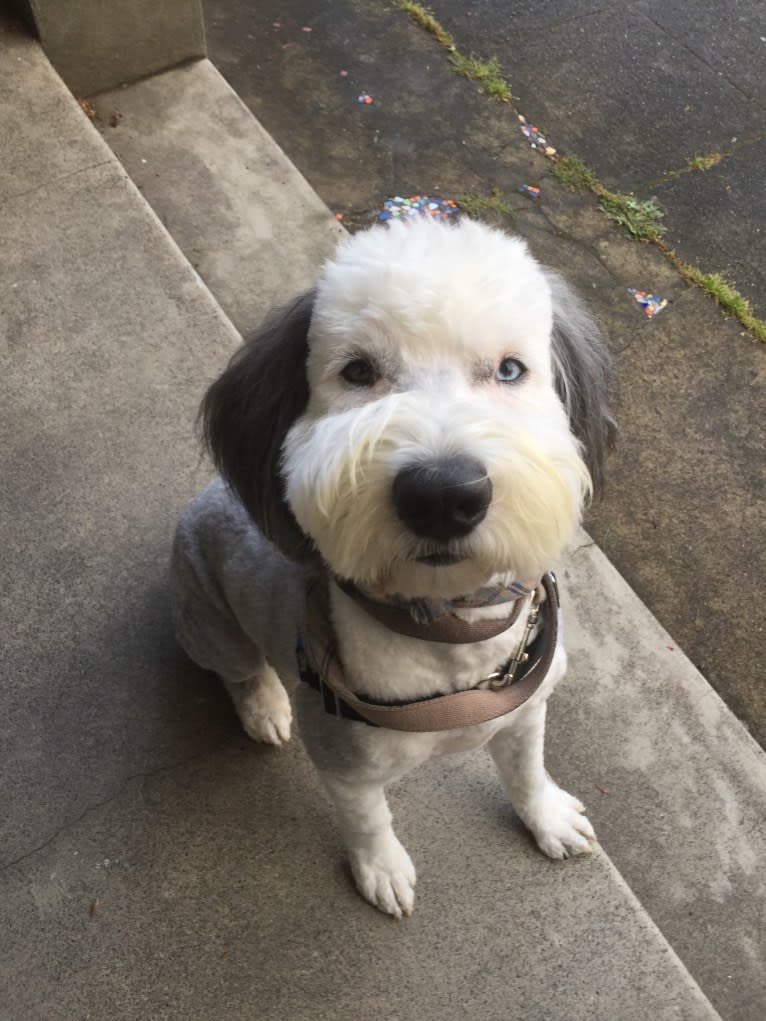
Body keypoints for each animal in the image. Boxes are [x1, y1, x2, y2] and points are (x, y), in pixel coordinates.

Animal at [170, 215, 616, 918]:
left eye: (509, 370)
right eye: (357, 371)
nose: (444, 495)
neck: (449, 638)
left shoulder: (526, 712)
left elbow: (527, 771)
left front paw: (546, 818)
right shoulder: (344, 758)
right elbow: (368, 820)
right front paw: (381, 870)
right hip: (208, 620)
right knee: (240, 671)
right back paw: (265, 708)